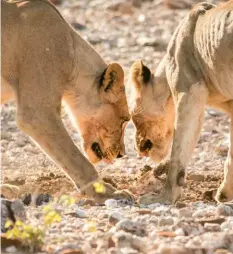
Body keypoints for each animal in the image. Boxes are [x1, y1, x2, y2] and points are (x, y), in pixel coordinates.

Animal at [129, 1, 233, 204]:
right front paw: (224, 194)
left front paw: (164, 198)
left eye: (133, 117)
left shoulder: (190, 91)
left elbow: (178, 151)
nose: (139, 148)